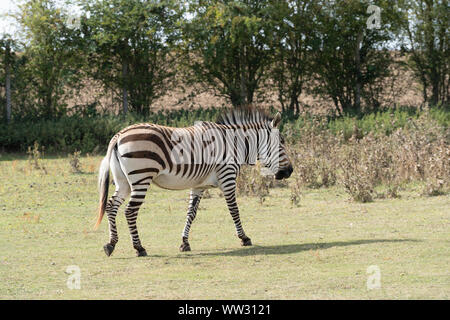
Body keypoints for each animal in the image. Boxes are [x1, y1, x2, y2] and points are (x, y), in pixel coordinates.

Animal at [93, 107, 294, 258]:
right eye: (281, 143)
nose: (290, 171)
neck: (235, 144)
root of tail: (119, 135)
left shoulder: (198, 185)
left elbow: (191, 213)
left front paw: (184, 242)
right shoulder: (227, 177)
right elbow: (234, 210)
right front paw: (244, 238)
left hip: (123, 181)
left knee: (111, 206)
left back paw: (111, 244)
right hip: (141, 177)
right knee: (130, 211)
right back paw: (139, 248)